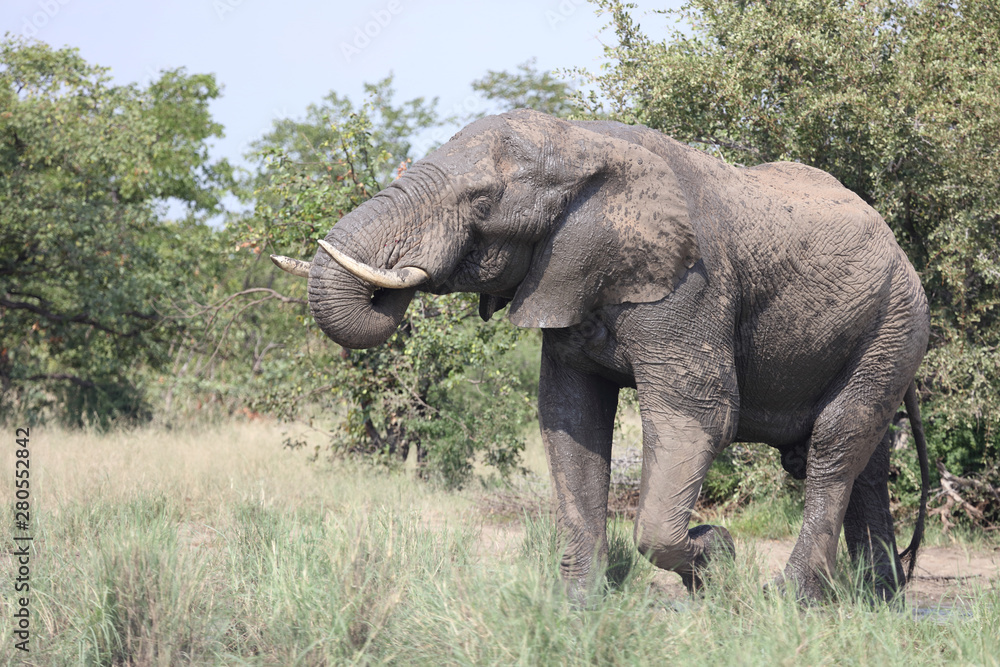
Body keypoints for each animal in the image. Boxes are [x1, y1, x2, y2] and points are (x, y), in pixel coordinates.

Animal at [272, 109, 930, 602]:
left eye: (481, 200)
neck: (582, 141)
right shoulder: (565, 276)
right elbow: (570, 418)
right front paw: (579, 609)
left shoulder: (692, 285)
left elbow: (699, 417)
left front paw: (717, 557)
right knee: (865, 458)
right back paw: (878, 601)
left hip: (894, 324)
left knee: (835, 447)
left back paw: (795, 602)